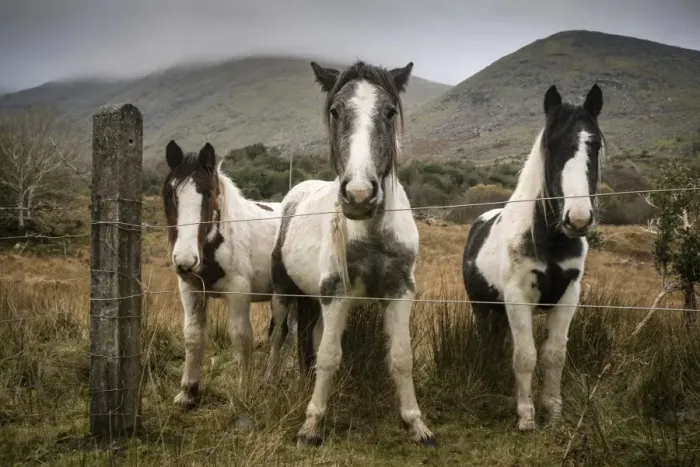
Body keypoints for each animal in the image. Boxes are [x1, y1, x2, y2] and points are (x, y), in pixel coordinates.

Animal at [161, 140, 290, 408]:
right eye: (169, 193)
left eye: (209, 194)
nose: (185, 260)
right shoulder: (191, 289)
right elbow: (193, 336)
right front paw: (188, 392)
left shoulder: (238, 292)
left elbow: (241, 338)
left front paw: (243, 392)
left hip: (282, 296)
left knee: (278, 335)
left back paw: (270, 381)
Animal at [267, 60, 436, 447]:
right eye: (335, 111)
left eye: (389, 112)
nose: (359, 196)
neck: (372, 233)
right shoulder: (336, 293)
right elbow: (329, 356)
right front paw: (311, 426)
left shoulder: (400, 291)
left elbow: (401, 357)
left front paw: (416, 424)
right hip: (284, 293)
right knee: (279, 336)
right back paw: (266, 384)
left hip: (313, 299)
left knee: (307, 339)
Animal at [461, 84, 605, 431]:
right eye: (552, 145)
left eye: (594, 145)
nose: (578, 218)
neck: (549, 239)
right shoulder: (518, 298)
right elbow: (526, 355)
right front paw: (526, 415)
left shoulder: (568, 296)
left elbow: (554, 354)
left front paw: (553, 411)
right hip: (482, 308)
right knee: (487, 343)